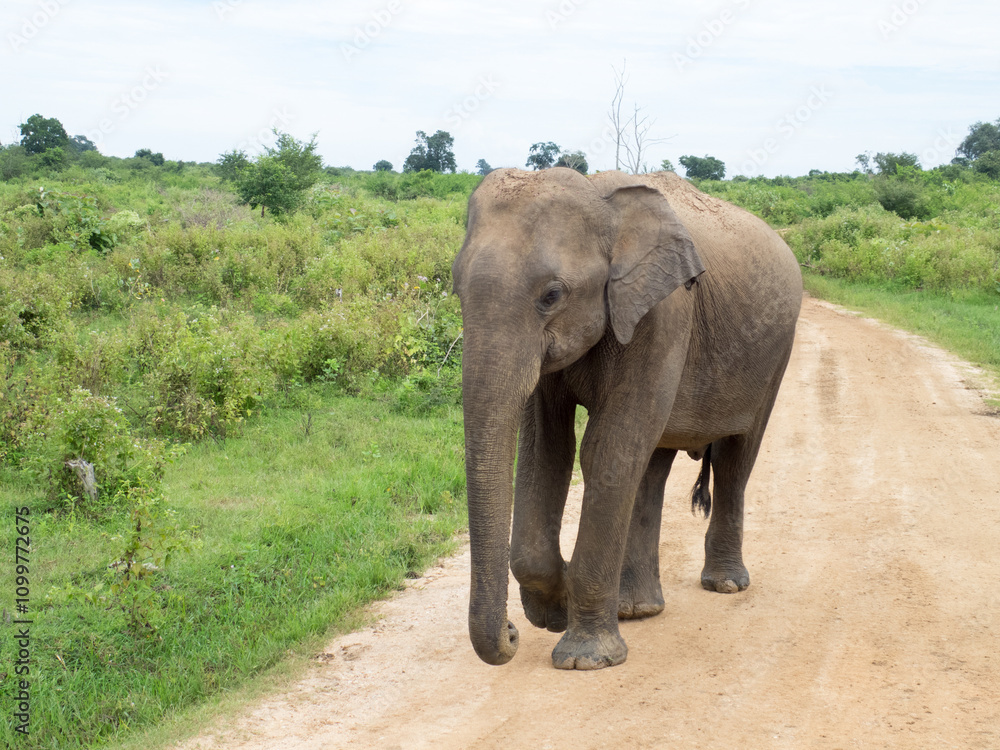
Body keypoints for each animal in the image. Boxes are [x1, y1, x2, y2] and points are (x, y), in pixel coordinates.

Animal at [451, 167, 802, 670]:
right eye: (456, 290)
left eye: (551, 295)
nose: (512, 633)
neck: (603, 202)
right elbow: (547, 451)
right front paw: (552, 610)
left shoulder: (665, 314)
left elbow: (606, 449)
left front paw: (583, 658)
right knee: (652, 466)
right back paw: (636, 609)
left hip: (776, 355)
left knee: (735, 459)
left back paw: (725, 586)